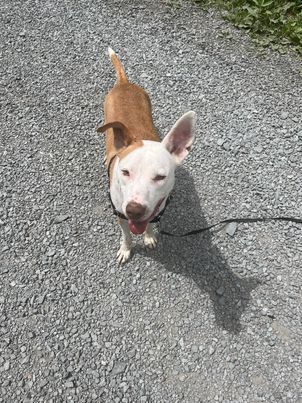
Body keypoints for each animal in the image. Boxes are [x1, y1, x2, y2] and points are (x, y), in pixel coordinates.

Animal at [96, 48, 196, 266]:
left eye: (160, 177)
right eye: (125, 172)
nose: (134, 210)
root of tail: (124, 83)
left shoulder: (155, 211)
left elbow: (149, 225)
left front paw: (149, 237)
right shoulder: (121, 215)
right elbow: (126, 235)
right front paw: (125, 250)